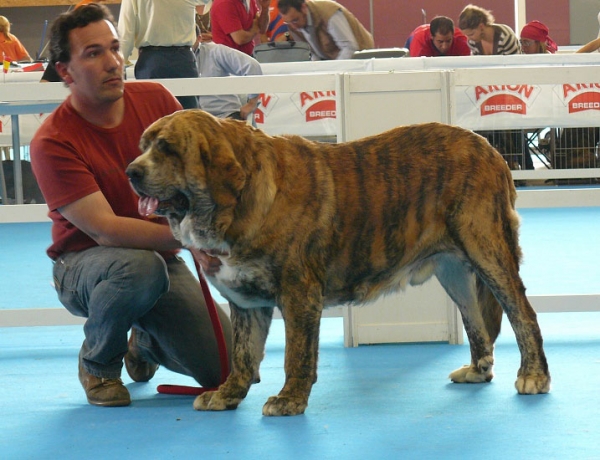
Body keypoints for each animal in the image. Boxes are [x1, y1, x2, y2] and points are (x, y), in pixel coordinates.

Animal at [125, 108, 548, 416]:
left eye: (167, 148)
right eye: (143, 145)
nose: (131, 171)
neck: (240, 200)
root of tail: (488, 148)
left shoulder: (299, 294)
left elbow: (296, 354)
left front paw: (289, 400)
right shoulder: (246, 302)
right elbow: (242, 355)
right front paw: (227, 394)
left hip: (487, 250)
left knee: (522, 314)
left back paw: (533, 376)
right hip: (453, 270)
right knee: (475, 320)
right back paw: (478, 371)